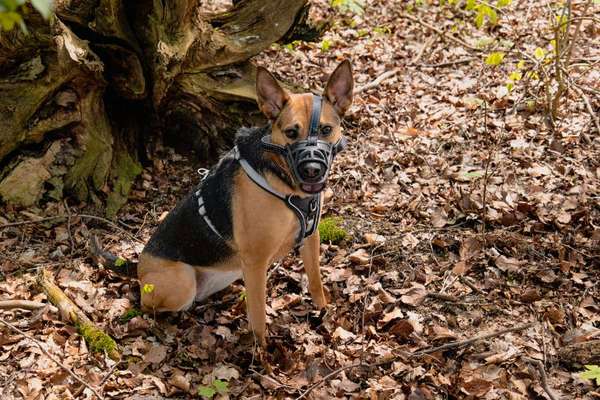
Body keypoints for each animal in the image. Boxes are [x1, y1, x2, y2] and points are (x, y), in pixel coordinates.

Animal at [94, 60, 354, 346]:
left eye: (326, 130)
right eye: (291, 133)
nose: (312, 170)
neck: (283, 182)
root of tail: (138, 266)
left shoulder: (311, 237)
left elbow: (316, 283)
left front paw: (324, 314)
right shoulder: (256, 262)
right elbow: (259, 316)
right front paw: (261, 353)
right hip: (182, 280)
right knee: (148, 304)